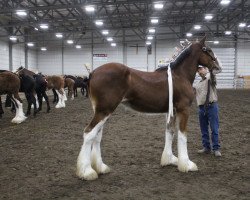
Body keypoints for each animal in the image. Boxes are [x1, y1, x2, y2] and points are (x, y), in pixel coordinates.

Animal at [75, 35, 222, 180]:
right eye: (208, 50)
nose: (218, 67)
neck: (180, 75)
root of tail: (93, 73)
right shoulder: (183, 110)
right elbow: (182, 135)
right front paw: (186, 164)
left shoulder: (172, 111)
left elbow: (170, 132)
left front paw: (170, 159)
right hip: (104, 111)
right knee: (89, 133)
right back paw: (87, 172)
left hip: (101, 111)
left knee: (97, 136)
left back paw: (100, 168)